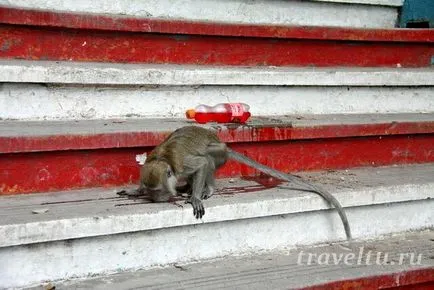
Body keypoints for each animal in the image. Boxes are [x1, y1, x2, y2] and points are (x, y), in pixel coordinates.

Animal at [118, 125, 352, 240]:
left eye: (158, 191)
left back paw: (208, 188)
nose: (157, 199)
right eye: (151, 193)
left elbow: (202, 163)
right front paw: (135, 191)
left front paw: (195, 197)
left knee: (208, 157)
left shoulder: (182, 165)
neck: (162, 160)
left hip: (220, 153)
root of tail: (226, 145)